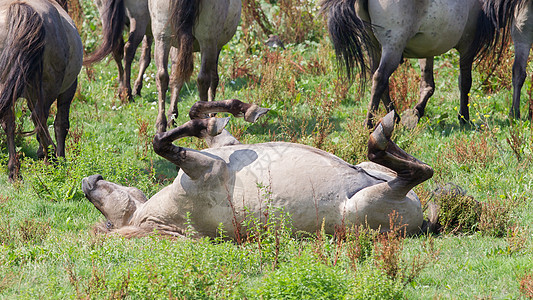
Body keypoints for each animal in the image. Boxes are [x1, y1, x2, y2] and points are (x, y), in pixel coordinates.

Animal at [0, 0, 82, 180]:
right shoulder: (68, 89)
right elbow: (61, 124)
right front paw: (58, 156)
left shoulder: (31, 95)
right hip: (50, 87)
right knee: (40, 117)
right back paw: (52, 159)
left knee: (9, 122)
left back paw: (14, 170)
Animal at [82, 99, 432, 238]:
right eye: (108, 220)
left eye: (104, 212)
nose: (89, 182)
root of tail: (420, 222)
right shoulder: (205, 167)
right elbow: (160, 142)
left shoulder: (221, 147)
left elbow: (200, 116)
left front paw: (240, 110)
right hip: (366, 204)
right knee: (417, 172)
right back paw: (382, 132)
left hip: (372, 174)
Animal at [150, 0, 241, 132]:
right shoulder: (216, 45)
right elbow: (214, 79)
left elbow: (176, 78)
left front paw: (172, 116)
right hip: (207, 39)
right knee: (203, 79)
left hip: (161, 36)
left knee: (162, 76)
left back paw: (161, 125)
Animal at [320, 0, 520, 127]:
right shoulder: (468, 45)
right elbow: (465, 83)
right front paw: (464, 117)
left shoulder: (428, 47)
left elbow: (428, 85)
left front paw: (417, 111)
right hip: (393, 45)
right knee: (380, 78)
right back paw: (369, 123)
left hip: (373, 45)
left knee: (379, 80)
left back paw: (395, 118)